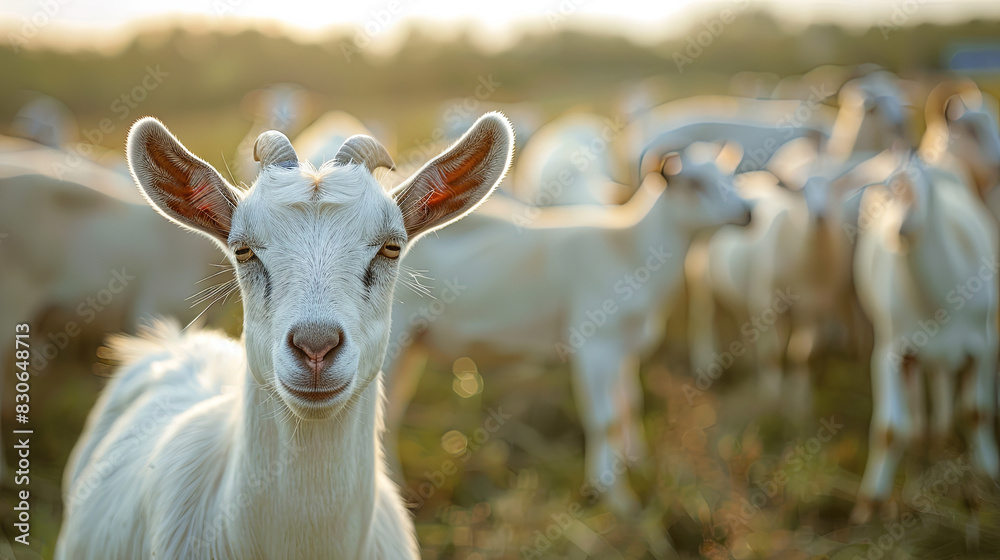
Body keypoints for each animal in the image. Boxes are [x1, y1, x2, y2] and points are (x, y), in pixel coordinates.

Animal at [382, 142, 751, 514]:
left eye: (730, 175)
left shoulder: (624, 347)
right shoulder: (596, 344)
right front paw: (616, 499)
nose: (748, 212)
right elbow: (605, 420)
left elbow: (628, 406)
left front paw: (637, 465)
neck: (629, 250)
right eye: (694, 184)